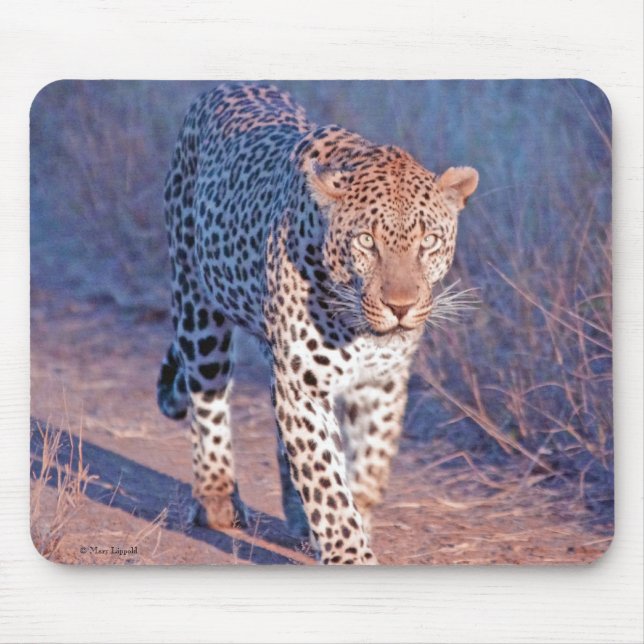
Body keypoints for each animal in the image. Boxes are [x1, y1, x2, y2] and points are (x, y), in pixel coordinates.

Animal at [157, 83, 478, 564]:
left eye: (429, 242)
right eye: (366, 241)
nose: (400, 307)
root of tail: (227, 87)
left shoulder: (381, 383)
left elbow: (367, 466)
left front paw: (353, 519)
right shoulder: (302, 385)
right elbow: (325, 478)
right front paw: (350, 554)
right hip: (198, 307)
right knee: (208, 401)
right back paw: (217, 498)